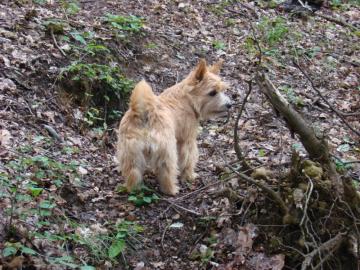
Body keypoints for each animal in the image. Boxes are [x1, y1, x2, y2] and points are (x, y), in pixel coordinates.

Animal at [116, 58, 232, 194]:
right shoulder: (187, 140)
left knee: (133, 175)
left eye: (223, 90)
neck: (187, 98)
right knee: (167, 172)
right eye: (212, 92)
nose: (230, 104)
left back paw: (135, 190)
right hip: (167, 152)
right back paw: (172, 189)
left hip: (130, 155)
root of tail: (144, 112)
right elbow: (188, 160)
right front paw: (189, 176)